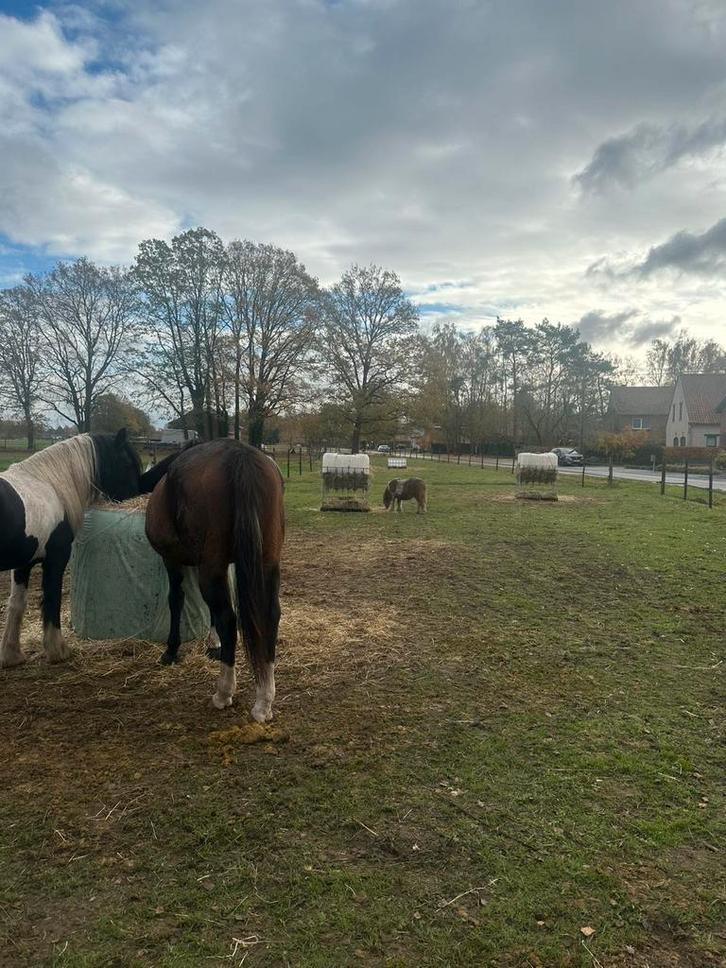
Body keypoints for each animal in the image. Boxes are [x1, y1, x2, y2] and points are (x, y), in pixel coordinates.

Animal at [0, 429, 142, 668]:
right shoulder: (55, 560)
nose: (136, 497)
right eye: (127, 463)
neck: (48, 485)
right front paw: (58, 651)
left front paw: (12, 655)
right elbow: (52, 600)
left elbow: (17, 604)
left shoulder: (23, 564)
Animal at [144, 439, 285, 722]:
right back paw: (264, 699)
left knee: (229, 620)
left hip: (211, 566)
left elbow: (176, 600)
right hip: (267, 564)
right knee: (270, 615)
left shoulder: (172, 560)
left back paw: (224, 692)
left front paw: (171, 650)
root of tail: (239, 454)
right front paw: (213, 642)